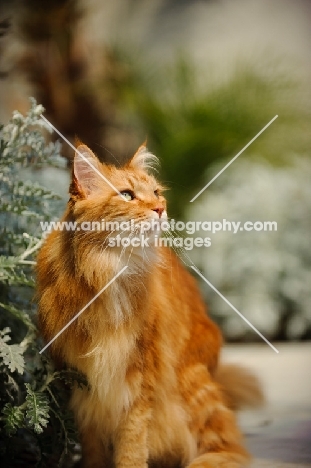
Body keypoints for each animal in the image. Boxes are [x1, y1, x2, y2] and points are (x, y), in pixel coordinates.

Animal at [37, 144, 264, 466]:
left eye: (156, 192)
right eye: (127, 195)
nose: (159, 209)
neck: (109, 271)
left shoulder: (140, 376)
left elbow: (132, 442)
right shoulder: (82, 383)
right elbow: (93, 444)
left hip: (192, 383)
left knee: (227, 445)